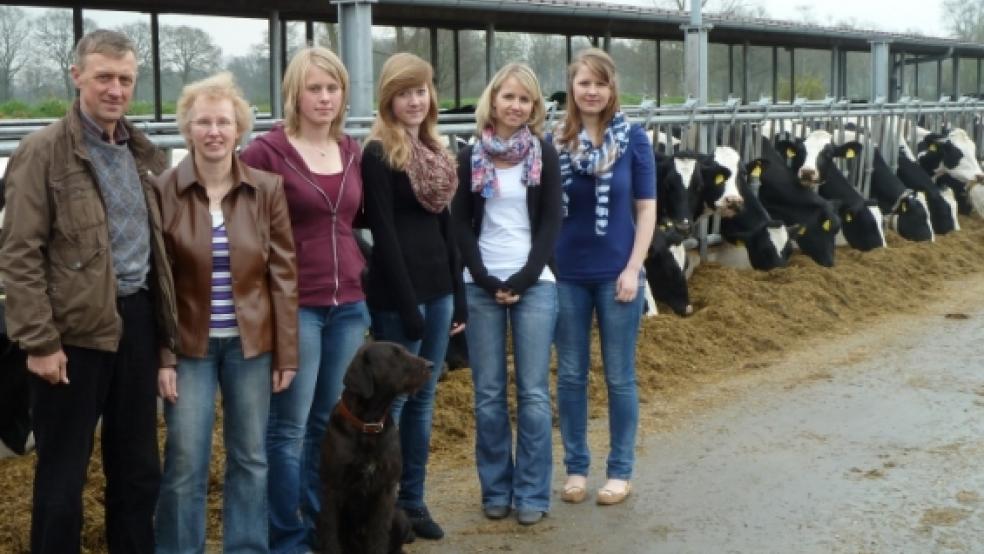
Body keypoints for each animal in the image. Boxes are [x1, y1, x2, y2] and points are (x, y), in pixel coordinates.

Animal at [320, 338, 430, 548]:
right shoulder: (331, 488)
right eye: (395, 355)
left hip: (400, 516)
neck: (368, 425)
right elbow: (330, 536)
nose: (431, 365)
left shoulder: (385, 489)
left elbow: (378, 536)